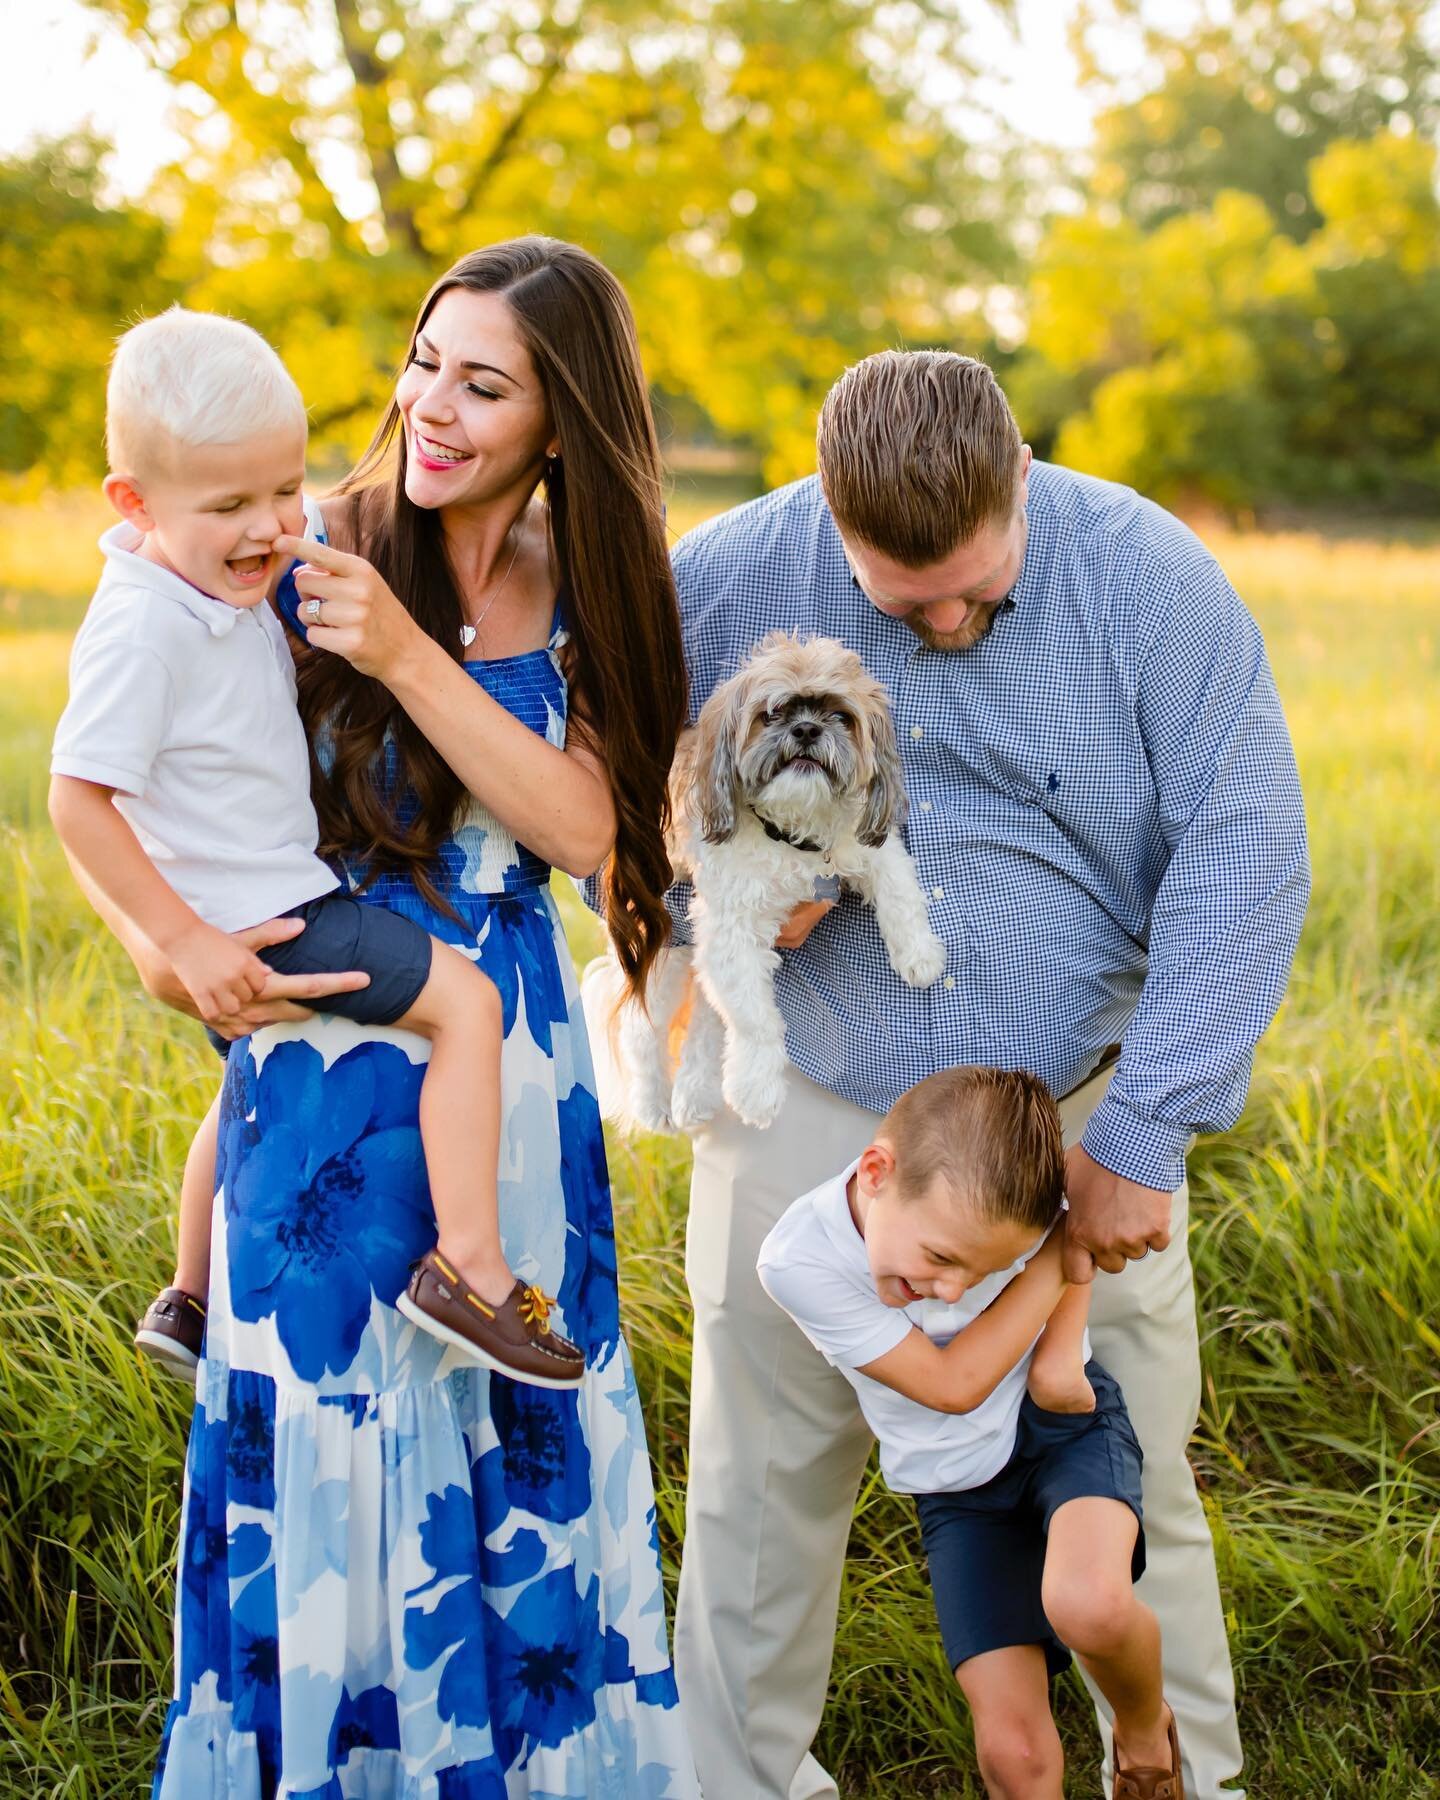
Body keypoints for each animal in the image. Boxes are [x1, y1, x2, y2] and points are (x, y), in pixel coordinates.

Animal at [583, 633, 943, 1130]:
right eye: (770, 714)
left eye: (841, 716)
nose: (807, 730)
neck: (794, 834)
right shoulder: (731, 927)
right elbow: (754, 1019)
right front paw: (756, 1091)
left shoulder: (868, 845)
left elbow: (900, 890)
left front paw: (920, 955)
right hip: (663, 949)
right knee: (642, 1027)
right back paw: (654, 1103)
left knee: (707, 1015)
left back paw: (695, 1089)